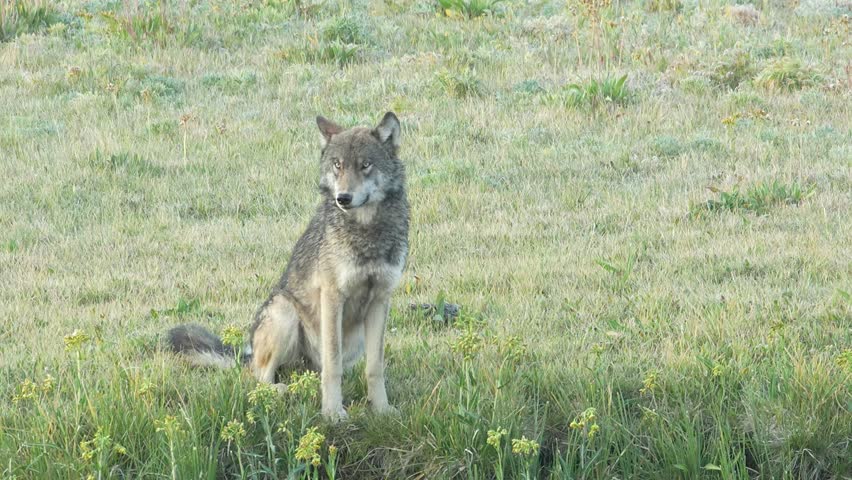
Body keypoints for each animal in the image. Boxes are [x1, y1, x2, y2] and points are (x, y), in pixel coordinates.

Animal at [168, 112, 409, 420]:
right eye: (338, 165)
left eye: (365, 165)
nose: (343, 198)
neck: (367, 231)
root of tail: (246, 355)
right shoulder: (332, 297)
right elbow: (333, 368)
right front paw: (333, 413)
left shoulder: (380, 299)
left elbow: (374, 368)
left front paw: (382, 409)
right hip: (285, 312)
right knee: (258, 378)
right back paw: (281, 390)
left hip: (352, 340)